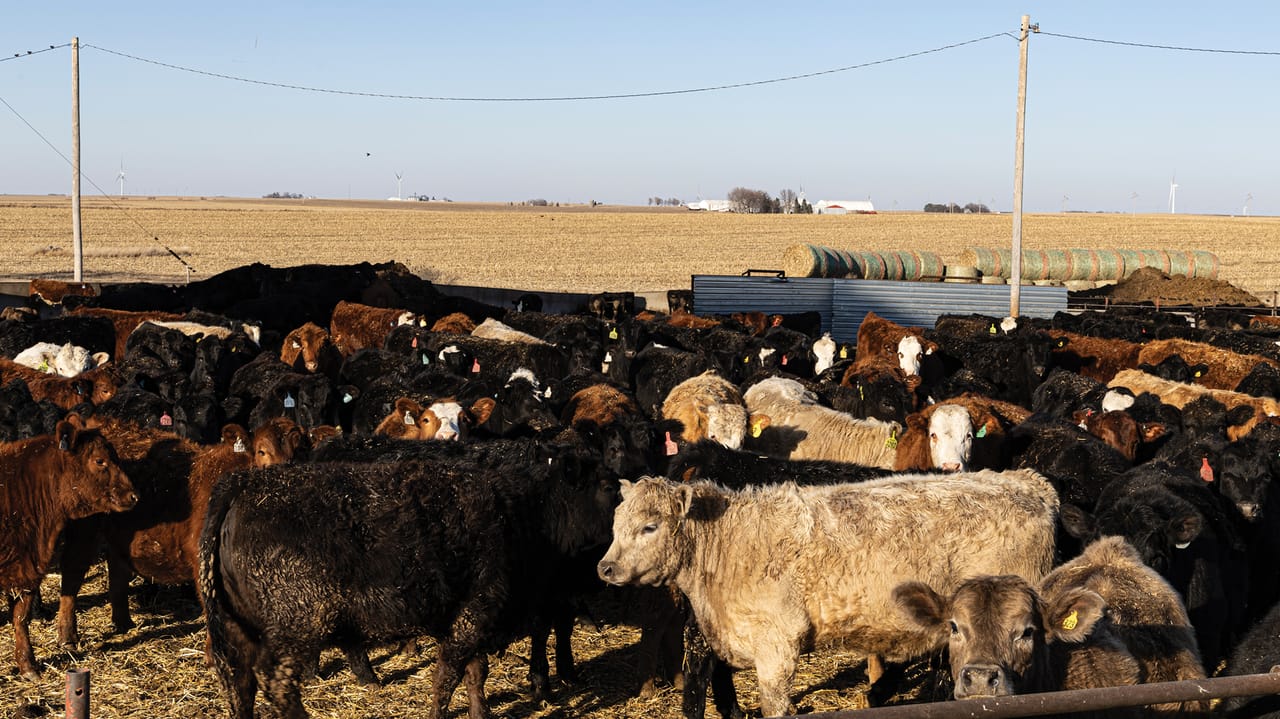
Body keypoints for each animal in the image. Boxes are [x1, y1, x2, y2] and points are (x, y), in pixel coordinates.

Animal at [596, 470, 1058, 717]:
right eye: (616, 522)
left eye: (650, 526)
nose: (605, 567)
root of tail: (1025, 481)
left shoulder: (777, 646)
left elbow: (775, 705)